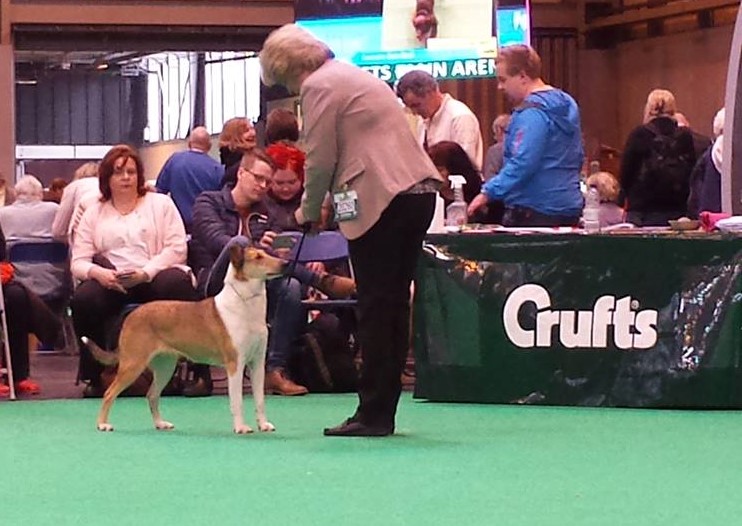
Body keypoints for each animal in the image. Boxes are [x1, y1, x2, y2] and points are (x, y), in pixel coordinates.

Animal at [83, 245, 288, 436]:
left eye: (266, 253)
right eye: (258, 257)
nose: (286, 263)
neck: (246, 304)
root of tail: (132, 314)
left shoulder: (257, 363)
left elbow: (260, 399)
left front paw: (264, 425)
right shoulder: (235, 365)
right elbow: (237, 401)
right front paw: (241, 427)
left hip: (165, 367)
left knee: (152, 395)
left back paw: (160, 424)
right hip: (133, 364)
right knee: (109, 393)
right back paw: (102, 424)